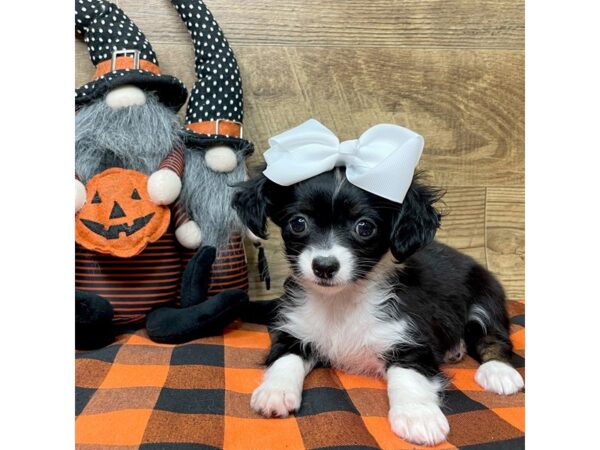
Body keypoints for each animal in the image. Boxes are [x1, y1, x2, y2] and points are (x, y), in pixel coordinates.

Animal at [232, 168, 524, 446]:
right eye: (298, 223)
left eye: (364, 227)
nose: (324, 266)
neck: (341, 300)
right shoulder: (295, 330)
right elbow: (284, 358)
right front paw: (275, 391)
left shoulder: (411, 338)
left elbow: (408, 375)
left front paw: (417, 415)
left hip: (486, 297)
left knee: (494, 337)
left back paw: (498, 371)